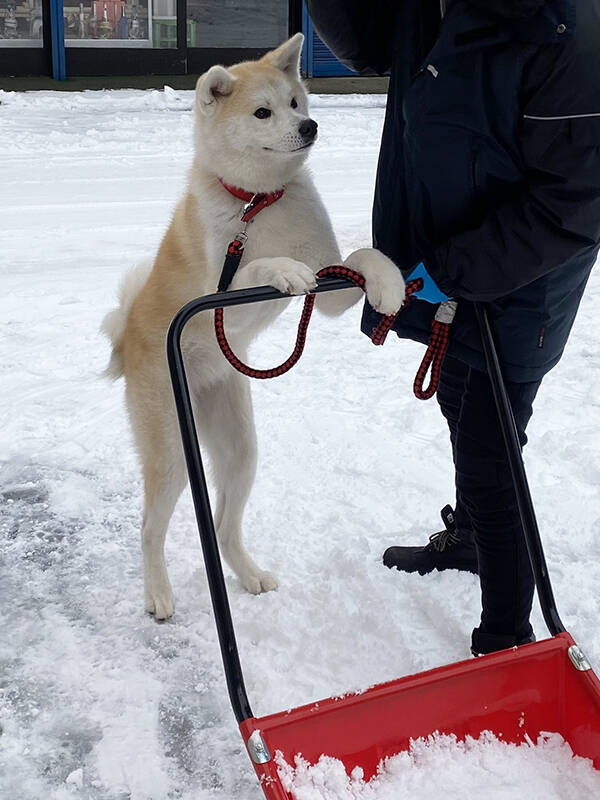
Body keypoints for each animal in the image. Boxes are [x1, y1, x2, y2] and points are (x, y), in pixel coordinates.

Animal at [103, 32, 406, 620]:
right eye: (263, 112)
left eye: (295, 102)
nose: (310, 127)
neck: (258, 203)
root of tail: (126, 339)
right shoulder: (220, 297)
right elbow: (255, 268)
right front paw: (283, 270)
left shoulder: (332, 280)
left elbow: (362, 258)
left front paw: (391, 282)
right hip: (173, 451)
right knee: (150, 528)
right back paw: (158, 594)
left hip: (240, 445)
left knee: (224, 525)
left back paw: (247, 575)